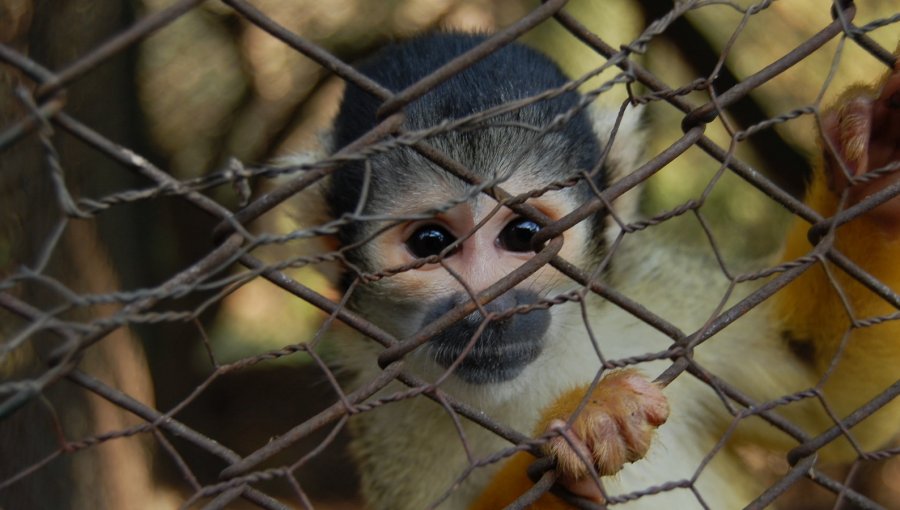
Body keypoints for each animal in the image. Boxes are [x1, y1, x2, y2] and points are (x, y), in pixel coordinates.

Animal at [290, 33, 900, 508]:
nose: (491, 309)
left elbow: (822, 395)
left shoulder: (651, 289)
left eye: (524, 235)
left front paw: (873, 168)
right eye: (431, 243)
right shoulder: (385, 421)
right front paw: (584, 431)